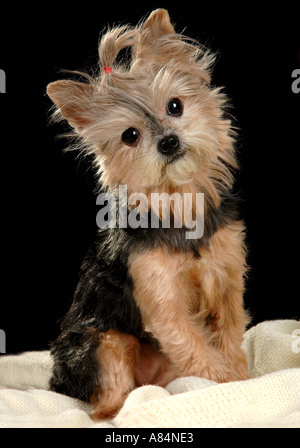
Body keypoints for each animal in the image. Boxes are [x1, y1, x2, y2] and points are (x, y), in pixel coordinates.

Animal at [46, 7, 251, 420]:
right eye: (130, 136)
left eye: (175, 106)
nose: (169, 141)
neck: (176, 201)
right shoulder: (160, 297)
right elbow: (192, 343)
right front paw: (225, 382)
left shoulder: (225, 276)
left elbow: (228, 330)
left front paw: (239, 373)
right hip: (99, 343)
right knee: (105, 398)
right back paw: (118, 408)